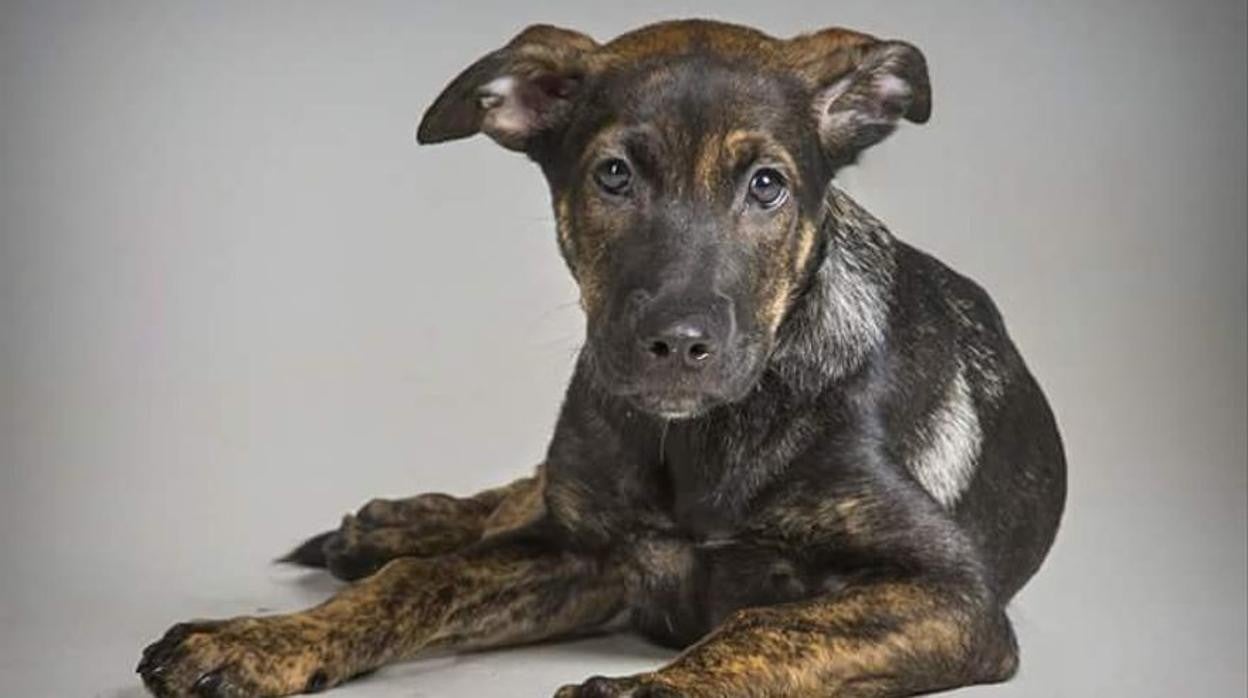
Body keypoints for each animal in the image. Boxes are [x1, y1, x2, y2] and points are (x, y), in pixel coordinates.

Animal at [141, 19, 1068, 694]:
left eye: (766, 185)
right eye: (614, 175)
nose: (678, 346)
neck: (699, 439)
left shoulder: (952, 596)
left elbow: (765, 626)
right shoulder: (584, 556)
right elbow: (415, 582)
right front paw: (262, 642)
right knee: (511, 499)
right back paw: (392, 524)